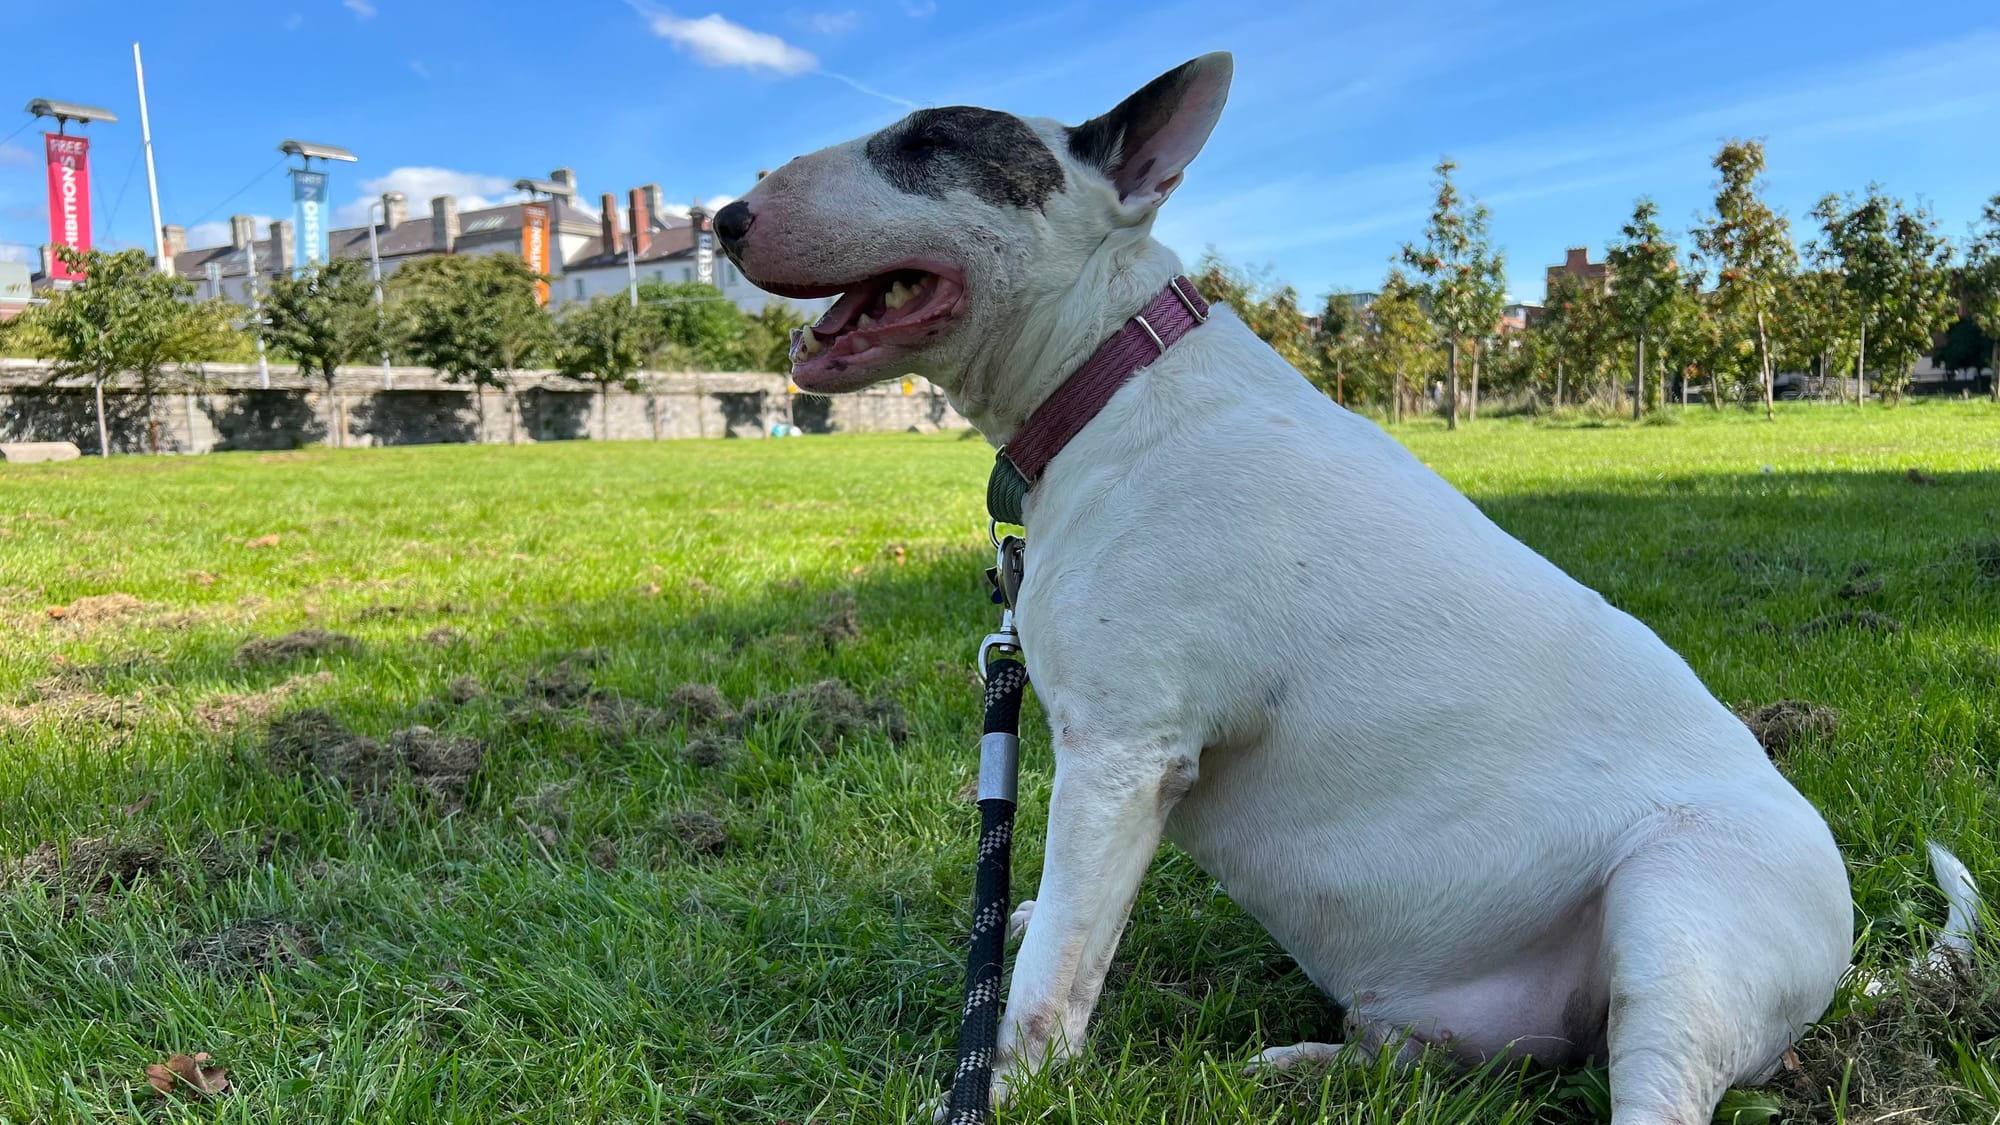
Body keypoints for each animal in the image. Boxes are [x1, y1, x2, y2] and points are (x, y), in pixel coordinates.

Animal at [712, 52, 1976, 1120]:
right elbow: (1064, 923)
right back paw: (1303, 1067)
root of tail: (1840, 966)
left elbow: (1050, 972)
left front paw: (1002, 1082)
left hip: (1677, 906)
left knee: (1650, 1084)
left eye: (926, 142)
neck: (1105, 375)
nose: (724, 219)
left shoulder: (1122, 754)